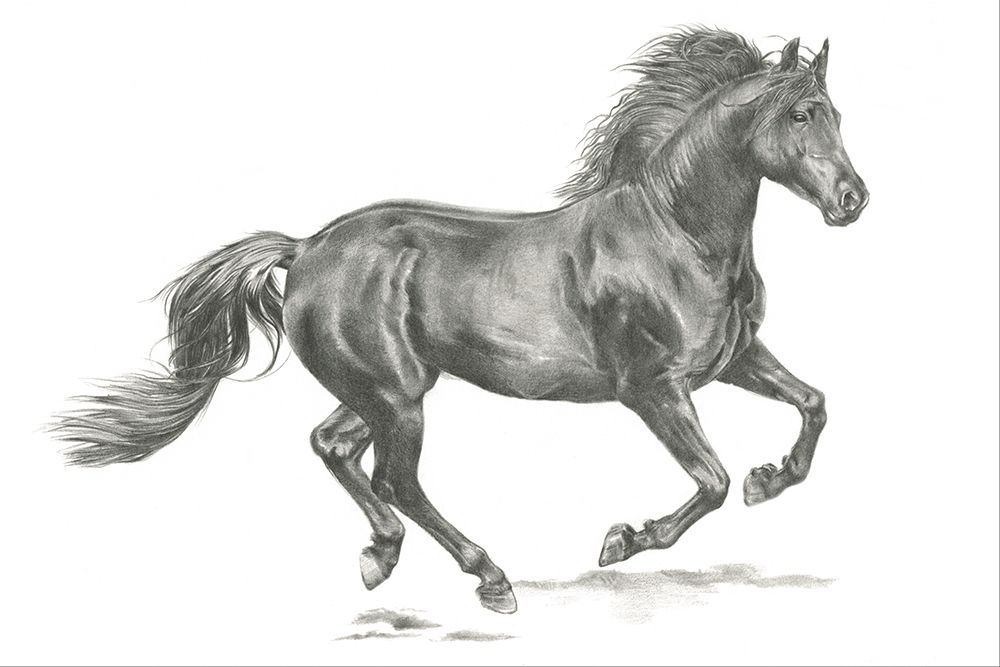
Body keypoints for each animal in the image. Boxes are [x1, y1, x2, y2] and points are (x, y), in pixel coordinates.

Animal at [50, 29, 869, 614]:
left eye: (836, 114)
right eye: (801, 114)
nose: (853, 200)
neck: (676, 234)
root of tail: (306, 247)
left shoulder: (733, 361)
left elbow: (813, 404)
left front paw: (772, 479)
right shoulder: (652, 388)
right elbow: (711, 480)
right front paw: (624, 539)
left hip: (383, 390)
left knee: (334, 446)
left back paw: (381, 557)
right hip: (398, 396)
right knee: (396, 477)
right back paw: (491, 577)